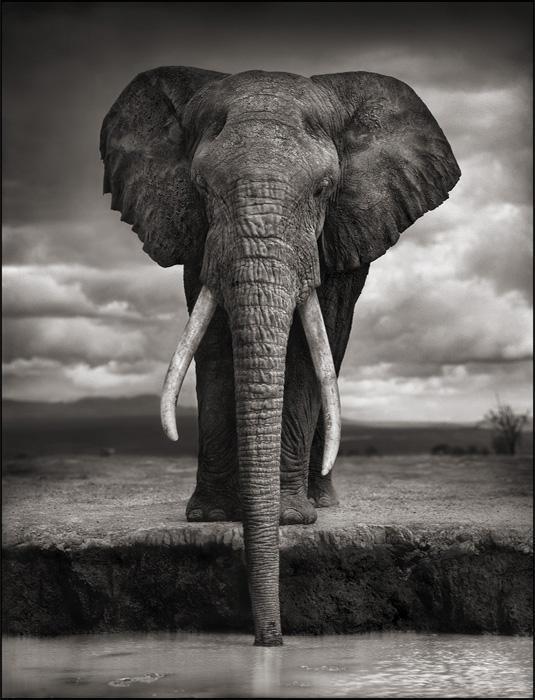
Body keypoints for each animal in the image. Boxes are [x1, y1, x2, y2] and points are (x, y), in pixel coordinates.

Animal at [101, 65, 460, 644]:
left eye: (324, 188)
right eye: (201, 187)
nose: (269, 639)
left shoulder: (335, 233)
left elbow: (307, 352)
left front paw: (291, 519)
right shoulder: (198, 237)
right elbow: (215, 344)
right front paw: (212, 517)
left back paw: (321, 502)